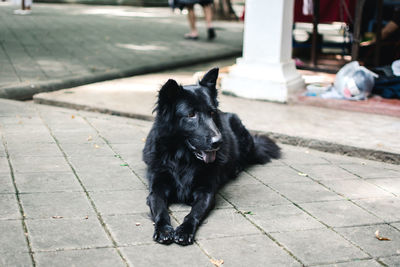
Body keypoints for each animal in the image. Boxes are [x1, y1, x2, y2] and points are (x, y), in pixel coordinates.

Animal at [142, 67, 280, 247]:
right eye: (191, 115)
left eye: (212, 112)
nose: (218, 141)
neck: (183, 159)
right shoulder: (157, 188)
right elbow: (160, 210)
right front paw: (164, 230)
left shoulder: (206, 191)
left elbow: (193, 214)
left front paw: (184, 230)